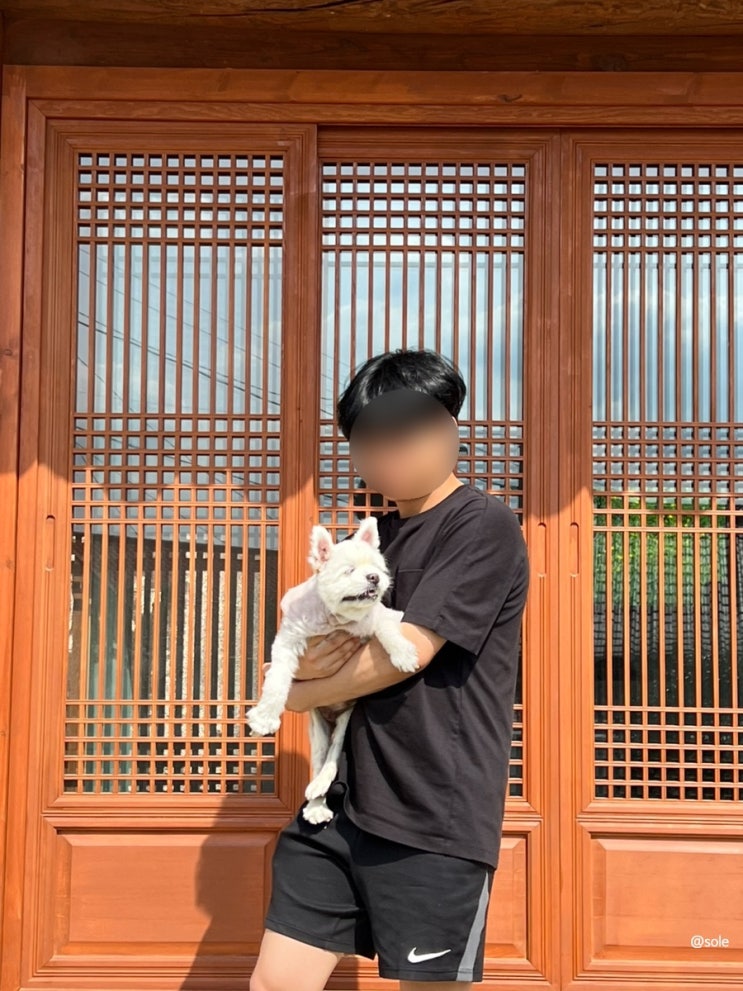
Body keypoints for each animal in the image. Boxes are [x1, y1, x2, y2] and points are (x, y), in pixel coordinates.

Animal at [247, 516, 419, 823]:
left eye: (377, 568)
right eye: (349, 571)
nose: (374, 578)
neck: (336, 620)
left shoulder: (380, 616)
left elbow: (387, 627)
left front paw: (402, 652)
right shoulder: (289, 641)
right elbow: (277, 681)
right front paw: (265, 717)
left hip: (345, 721)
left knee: (332, 759)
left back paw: (319, 791)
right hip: (317, 729)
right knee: (320, 759)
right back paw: (316, 803)